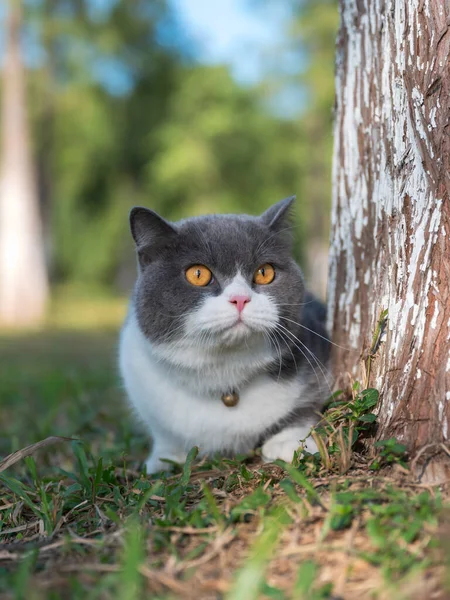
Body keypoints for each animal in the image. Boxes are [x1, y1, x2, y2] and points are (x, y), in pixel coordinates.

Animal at [118, 197, 330, 474]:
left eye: (265, 272)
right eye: (198, 274)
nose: (240, 298)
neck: (223, 373)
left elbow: (308, 404)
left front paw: (289, 442)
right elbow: (165, 436)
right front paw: (163, 458)